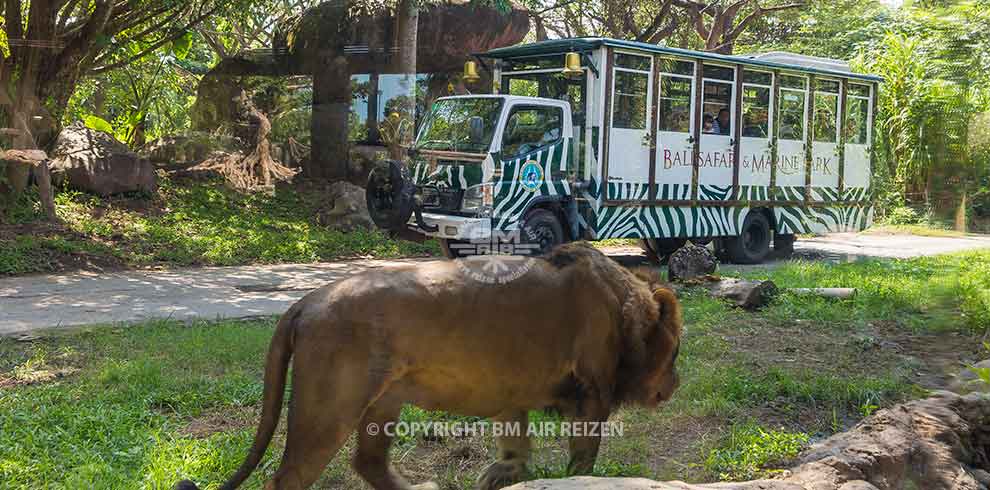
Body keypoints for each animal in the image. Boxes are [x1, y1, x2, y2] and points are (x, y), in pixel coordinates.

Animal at [174, 242, 680, 490]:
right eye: (675, 353)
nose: (675, 384)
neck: (625, 304)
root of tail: (305, 301)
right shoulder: (592, 390)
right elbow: (582, 455)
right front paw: (574, 477)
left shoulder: (510, 390)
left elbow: (515, 445)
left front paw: (499, 476)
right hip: (329, 408)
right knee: (289, 478)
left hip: (383, 400)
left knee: (368, 461)